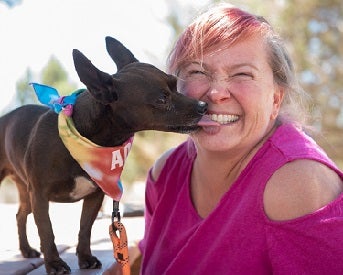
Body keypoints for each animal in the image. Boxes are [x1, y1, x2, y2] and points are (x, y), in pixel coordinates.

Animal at [0, 36, 207, 274]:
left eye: (175, 84)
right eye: (162, 99)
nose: (203, 105)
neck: (85, 137)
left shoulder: (94, 196)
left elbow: (84, 228)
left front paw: (85, 257)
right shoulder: (40, 196)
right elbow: (46, 231)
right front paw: (54, 263)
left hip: (25, 191)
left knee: (20, 214)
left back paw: (26, 250)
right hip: (28, 192)